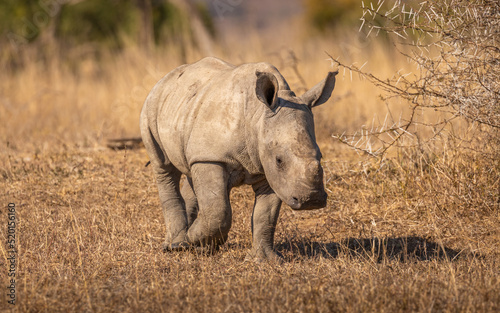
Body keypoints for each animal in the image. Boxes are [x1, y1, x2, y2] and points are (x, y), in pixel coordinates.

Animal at [140, 56, 336, 260]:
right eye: (279, 160)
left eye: (320, 156)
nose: (311, 200)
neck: (258, 116)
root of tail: (164, 79)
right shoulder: (213, 157)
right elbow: (219, 211)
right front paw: (194, 239)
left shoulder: (268, 170)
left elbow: (265, 215)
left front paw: (264, 260)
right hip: (151, 106)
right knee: (164, 167)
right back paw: (177, 245)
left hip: (187, 113)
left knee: (191, 171)